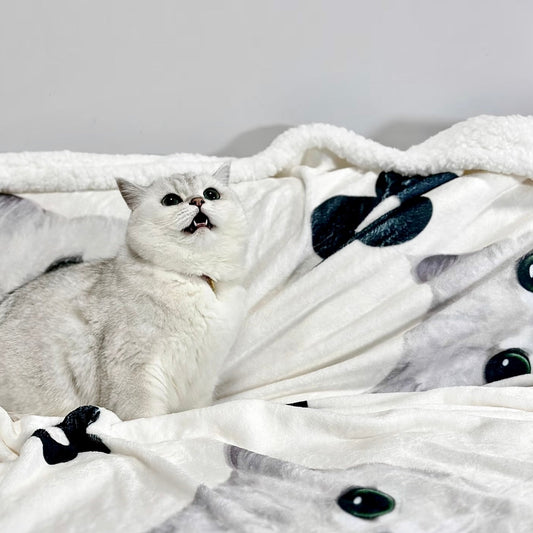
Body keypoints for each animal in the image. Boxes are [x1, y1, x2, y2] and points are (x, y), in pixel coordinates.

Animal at [0, 163, 247, 420]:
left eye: (211, 194)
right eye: (170, 200)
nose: (198, 200)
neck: (196, 279)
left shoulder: (201, 379)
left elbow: (197, 411)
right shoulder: (135, 365)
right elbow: (144, 417)